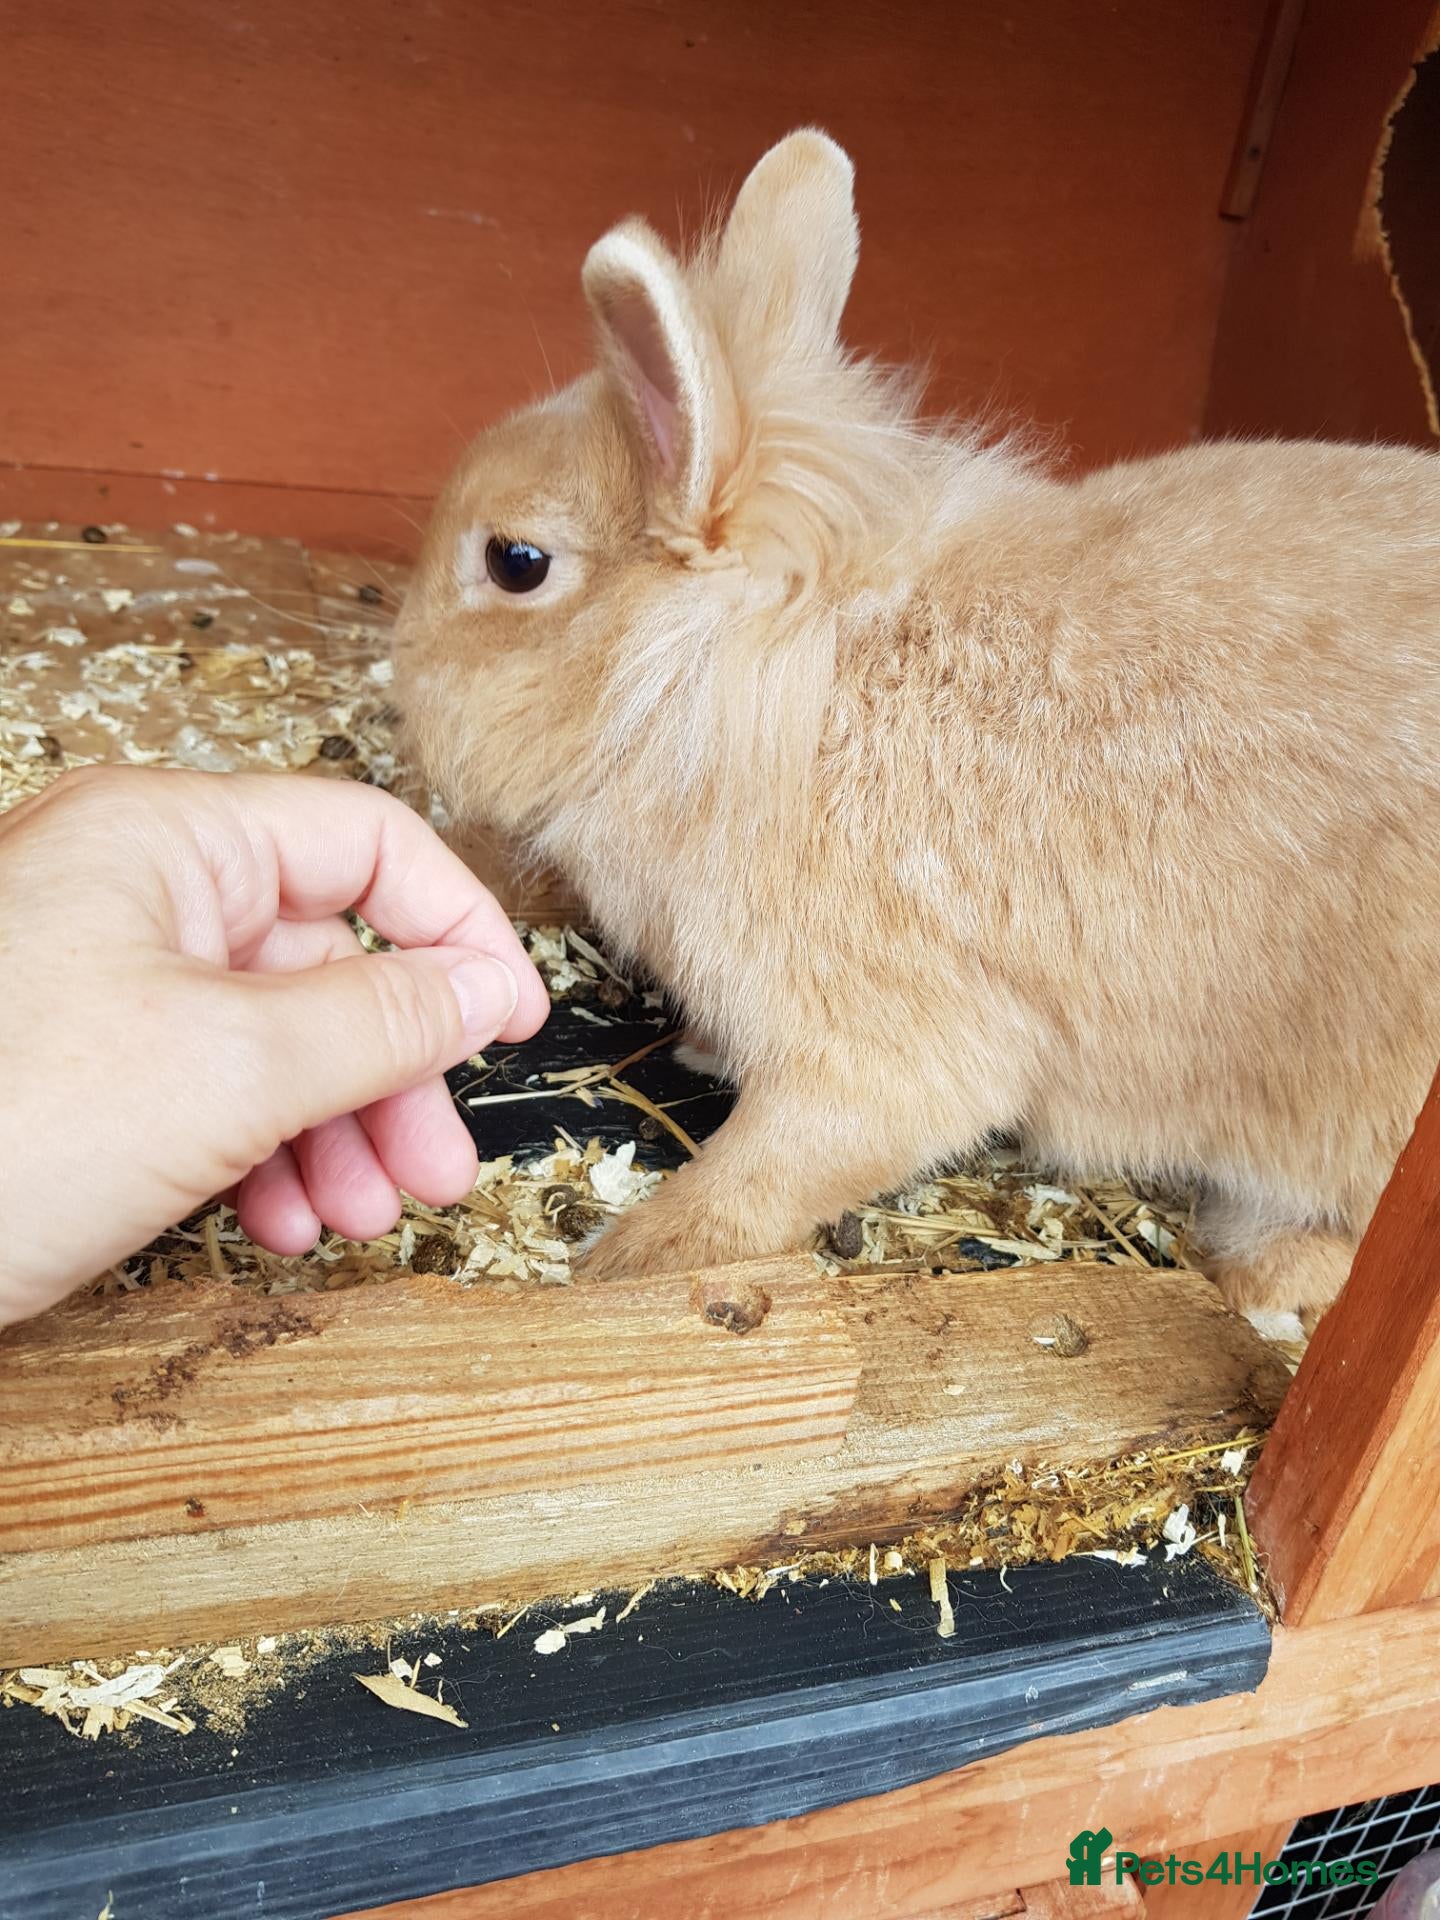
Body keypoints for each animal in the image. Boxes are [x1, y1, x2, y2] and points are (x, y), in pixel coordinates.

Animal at [393, 129, 1440, 1322]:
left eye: (515, 563)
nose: (404, 676)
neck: (724, 685)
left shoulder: (883, 1050)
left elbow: (764, 1178)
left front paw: (619, 1266)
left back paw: (1267, 1274)